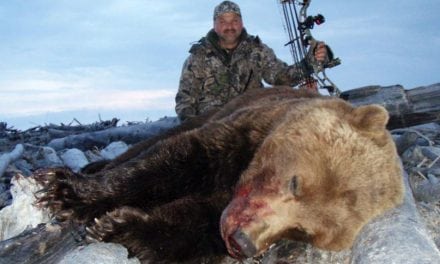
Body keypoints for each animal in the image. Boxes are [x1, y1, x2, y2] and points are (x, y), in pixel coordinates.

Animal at [36, 86, 404, 262]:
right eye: (295, 182)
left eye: (303, 232)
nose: (243, 243)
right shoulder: (238, 133)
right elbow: (171, 162)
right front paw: (66, 193)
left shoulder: (224, 210)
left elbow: (194, 226)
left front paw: (120, 226)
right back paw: (92, 167)